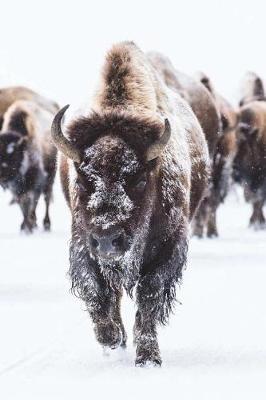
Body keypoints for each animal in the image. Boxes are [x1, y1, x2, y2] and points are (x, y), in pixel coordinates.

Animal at [51, 42, 210, 368]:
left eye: (138, 179)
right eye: (82, 178)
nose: (108, 239)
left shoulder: (169, 247)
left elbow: (149, 294)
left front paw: (148, 358)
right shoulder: (83, 244)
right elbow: (96, 290)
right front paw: (111, 339)